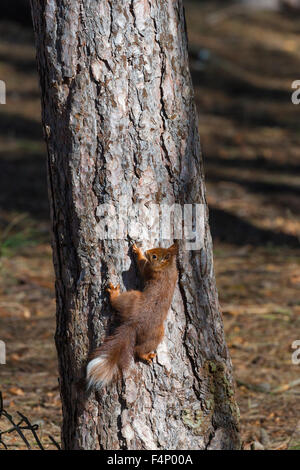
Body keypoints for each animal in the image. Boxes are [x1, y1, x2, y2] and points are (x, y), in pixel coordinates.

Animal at [85, 242, 177, 390]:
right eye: (157, 249)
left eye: (154, 256)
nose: (147, 251)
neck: (167, 268)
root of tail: (134, 322)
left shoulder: (150, 270)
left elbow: (142, 265)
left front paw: (137, 251)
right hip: (154, 334)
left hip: (132, 299)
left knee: (137, 349)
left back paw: (113, 293)